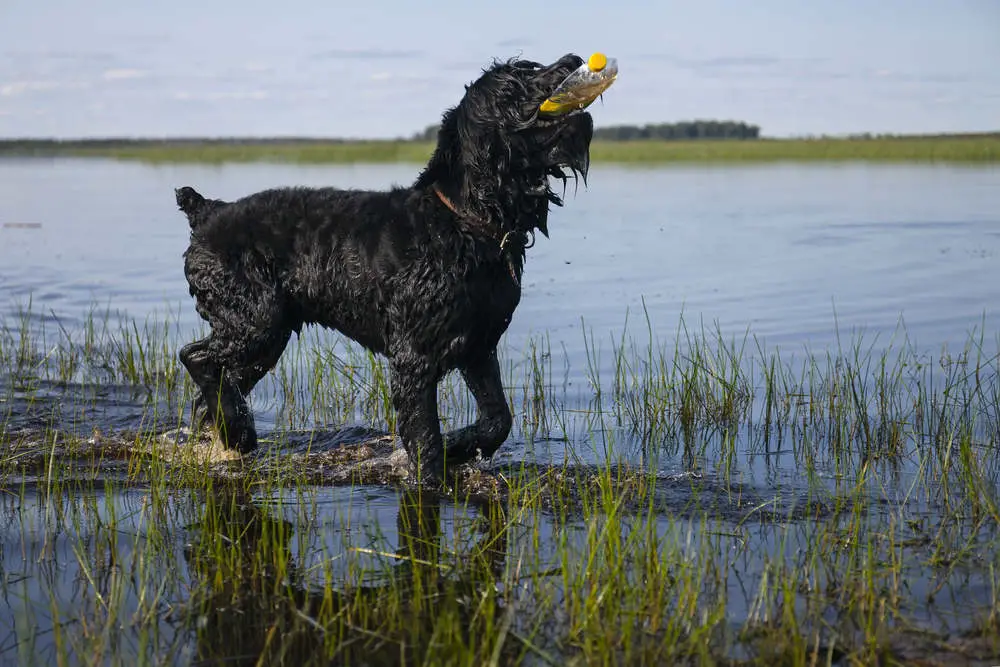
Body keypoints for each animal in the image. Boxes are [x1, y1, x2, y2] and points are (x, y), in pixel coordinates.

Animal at [176, 51, 596, 480]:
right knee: (197, 358)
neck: (465, 223)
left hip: (263, 338)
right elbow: (425, 439)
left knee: (212, 391)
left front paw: (460, 447)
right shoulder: (415, 357)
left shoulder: (478, 345)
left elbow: (498, 419)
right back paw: (238, 432)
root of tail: (207, 212)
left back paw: (231, 436)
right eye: (517, 79)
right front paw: (434, 472)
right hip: (256, 323)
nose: (574, 59)